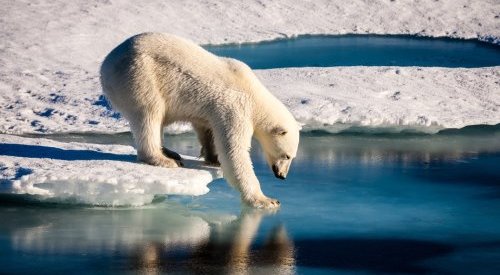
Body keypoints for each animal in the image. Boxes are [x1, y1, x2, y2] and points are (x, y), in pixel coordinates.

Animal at [99, 33, 298, 208]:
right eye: (287, 156)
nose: (282, 176)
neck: (254, 95)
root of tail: (105, 65)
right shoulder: (235, 108)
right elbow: (234, 151)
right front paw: (266, 200)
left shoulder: (212, 110)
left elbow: (206, 129)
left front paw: (213, 158)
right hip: (139, 76)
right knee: (149, 114)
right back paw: (164, 159)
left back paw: (170, 152)